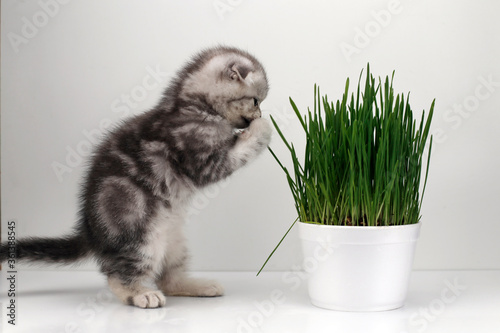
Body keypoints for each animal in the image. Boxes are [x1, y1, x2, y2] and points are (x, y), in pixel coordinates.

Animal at [0, 45, 272, 308]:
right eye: (255, 101)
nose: (259, 115)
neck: (191, 105)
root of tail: (91, 231)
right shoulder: (202, 159)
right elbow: (238, 152)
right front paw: (263, 128)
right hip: (140, 235)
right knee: (117, 274)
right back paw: (140, 294)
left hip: (174, 240)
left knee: (169, 278)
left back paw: (197, 286)